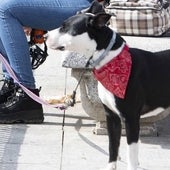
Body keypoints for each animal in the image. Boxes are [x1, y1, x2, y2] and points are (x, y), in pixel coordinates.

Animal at [46, 1, 170, 170]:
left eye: (65, 27)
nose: (44, 36)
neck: (111, 61)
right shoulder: (111, 117)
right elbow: (113, 147)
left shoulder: (131, 118)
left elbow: (131, 155)